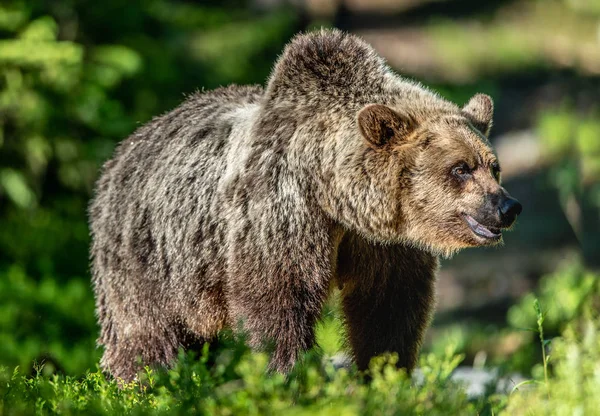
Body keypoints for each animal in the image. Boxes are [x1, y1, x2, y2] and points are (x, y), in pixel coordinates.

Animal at [88, 28, 520, 380]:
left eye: (493, 166)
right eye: (460, 168)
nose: (507, 207)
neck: (335, 198)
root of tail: (122, 151)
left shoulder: (384, 244)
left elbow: (387, 310)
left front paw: (383, 375)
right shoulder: (280, 214)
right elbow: (279, 306)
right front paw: (289, 374)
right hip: (145, 259)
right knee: (145, 335)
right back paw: (147, 382)